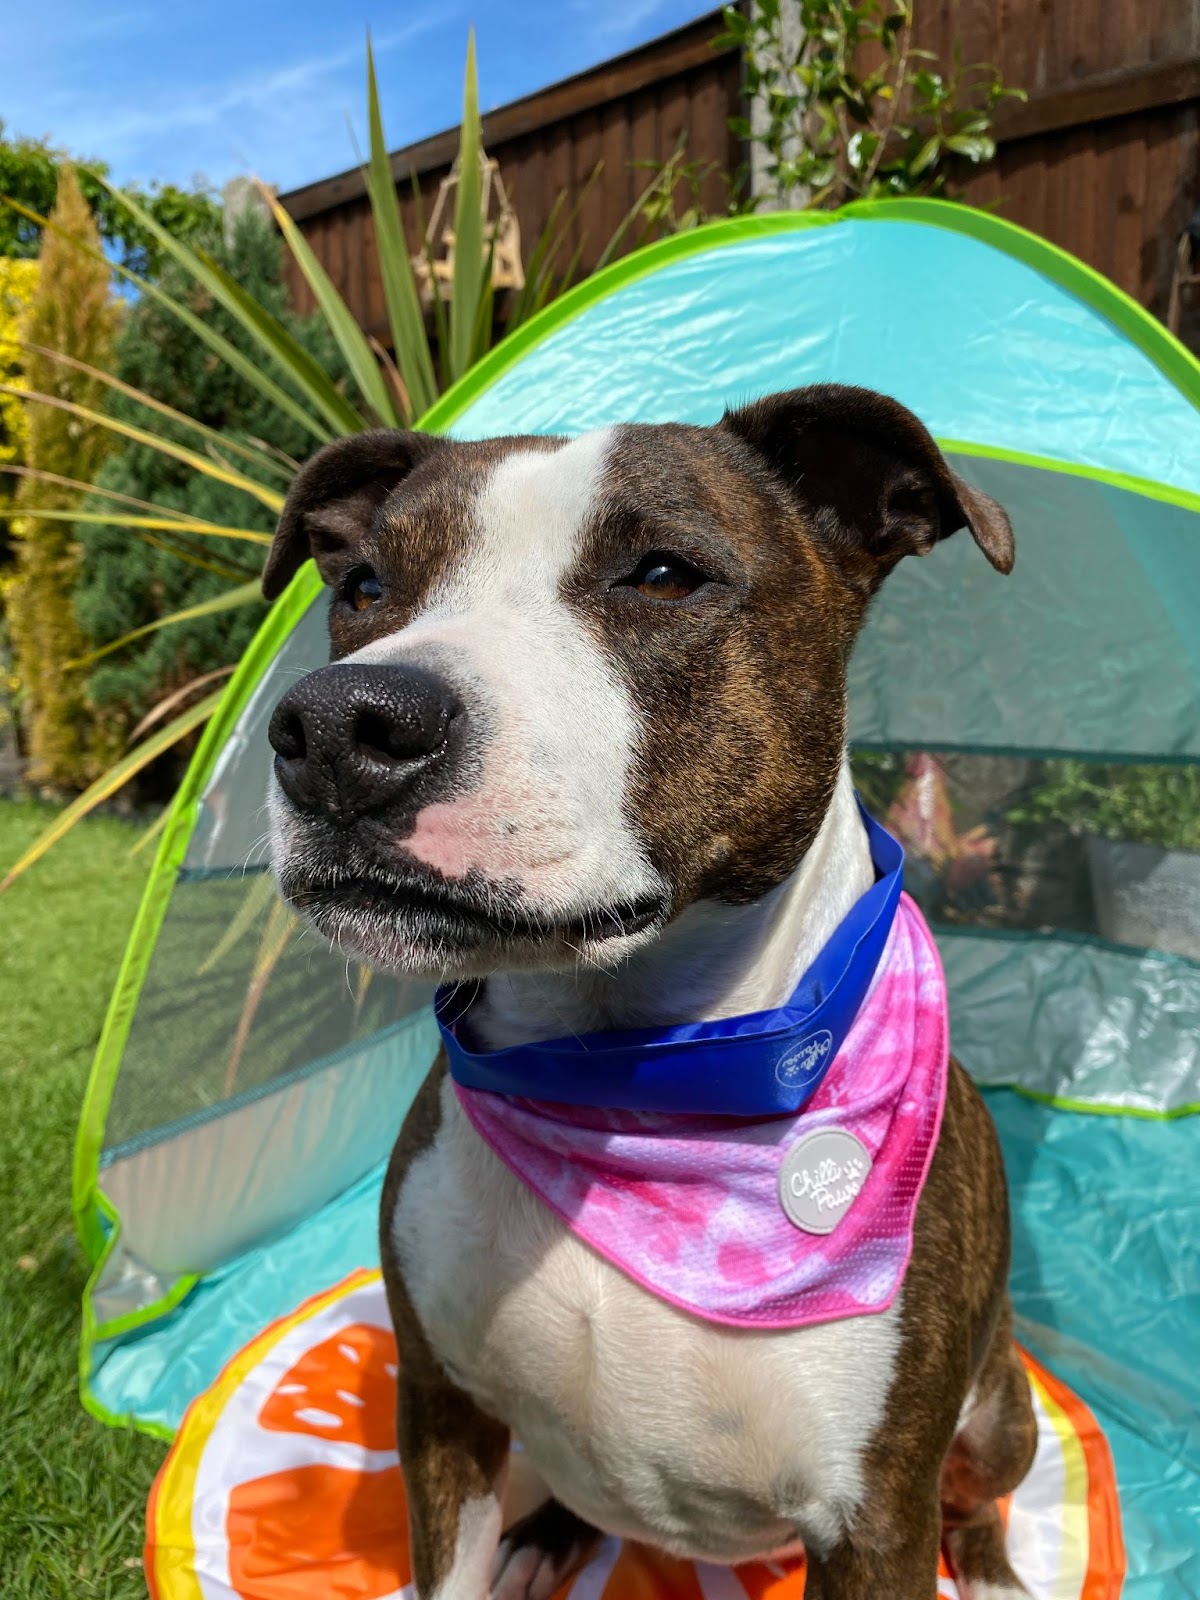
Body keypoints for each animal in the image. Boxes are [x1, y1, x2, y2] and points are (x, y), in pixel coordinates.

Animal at [263, 385, 1037, 1600]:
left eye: (663, 575)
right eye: (365, 589)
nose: (339, 728)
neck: (628, 1082)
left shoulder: (874, 1517)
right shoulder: (440, 1411)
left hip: (1001, 1406)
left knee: (981, 1492)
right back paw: (547, 1541)